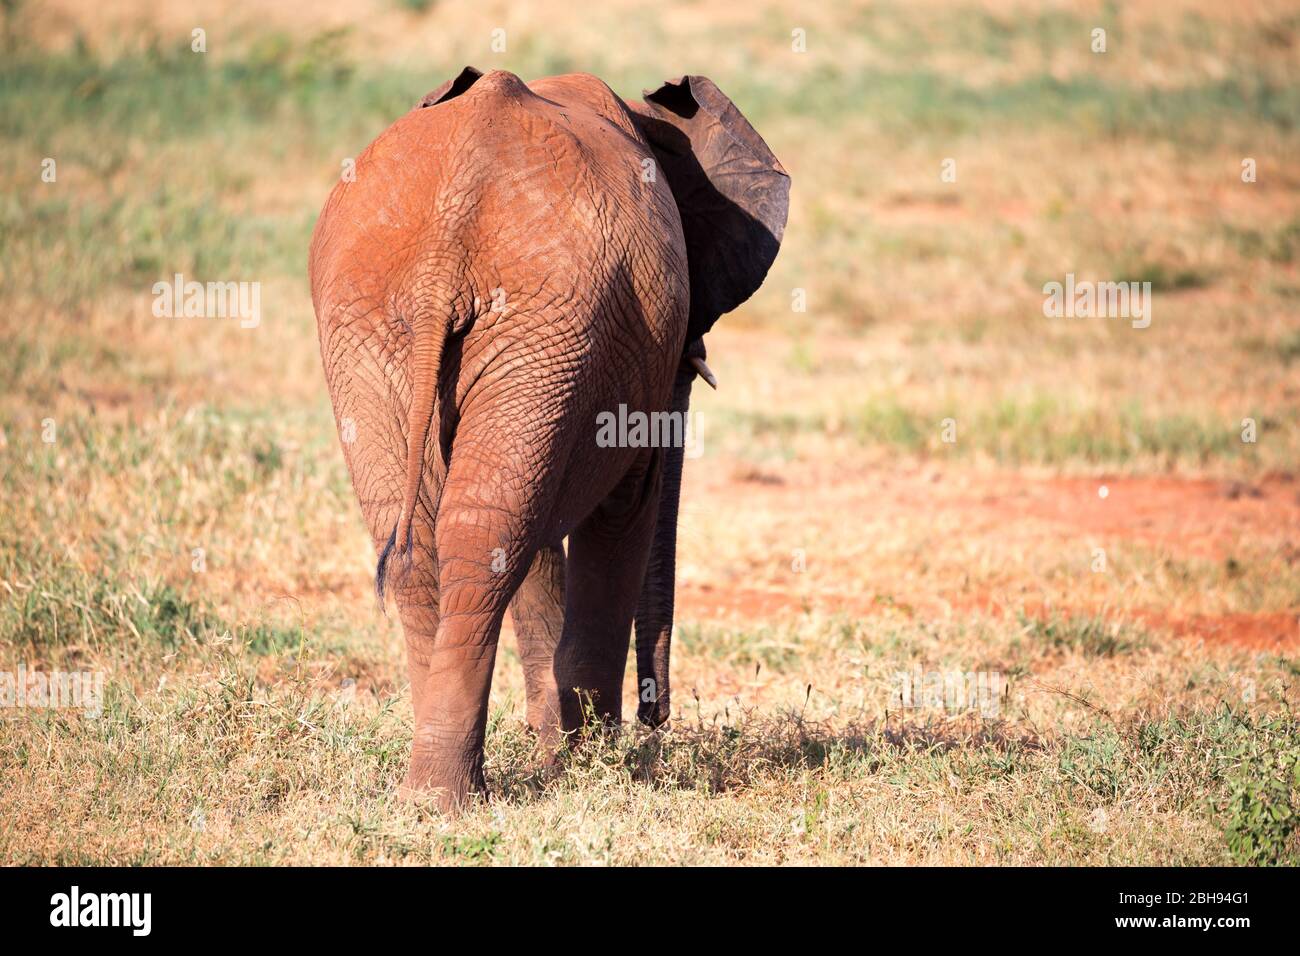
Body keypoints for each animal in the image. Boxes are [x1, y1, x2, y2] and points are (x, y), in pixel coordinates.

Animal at [309, 67, 785, 811]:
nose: (656, 719)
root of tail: (449, 234)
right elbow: (622, 510)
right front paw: (594, 765)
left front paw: (563, 754)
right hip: (510, 321)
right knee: (482, 530)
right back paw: (453, 795)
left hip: (402, 321)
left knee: (445, 533)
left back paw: (429, 796)